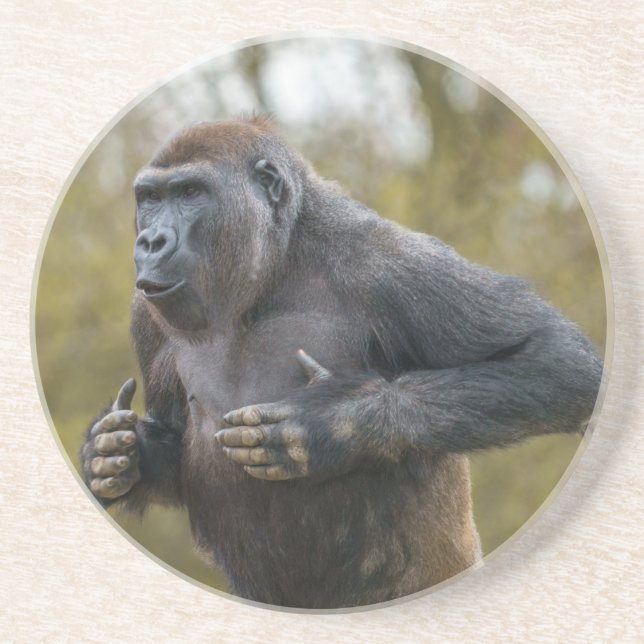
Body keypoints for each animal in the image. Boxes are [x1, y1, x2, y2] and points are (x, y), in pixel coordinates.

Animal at [79, 116, 603, 609]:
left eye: (191, 193)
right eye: (150, 198)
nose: (151, 241)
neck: (275, 266)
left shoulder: (391, 261)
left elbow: (557, 360)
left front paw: (331, 423)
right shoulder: (144, 315)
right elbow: (170, 445)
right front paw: (118, 453)